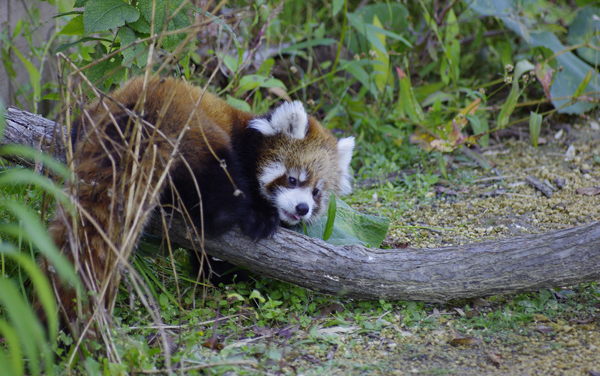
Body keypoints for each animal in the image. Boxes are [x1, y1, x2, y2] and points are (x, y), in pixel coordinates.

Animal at [44, 75, 354, 324]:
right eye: (292, 180)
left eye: (316, 192)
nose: (302, 208)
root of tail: (146, 107)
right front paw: (260, 218)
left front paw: (221, 271)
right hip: (196, 136)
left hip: (94, 119)